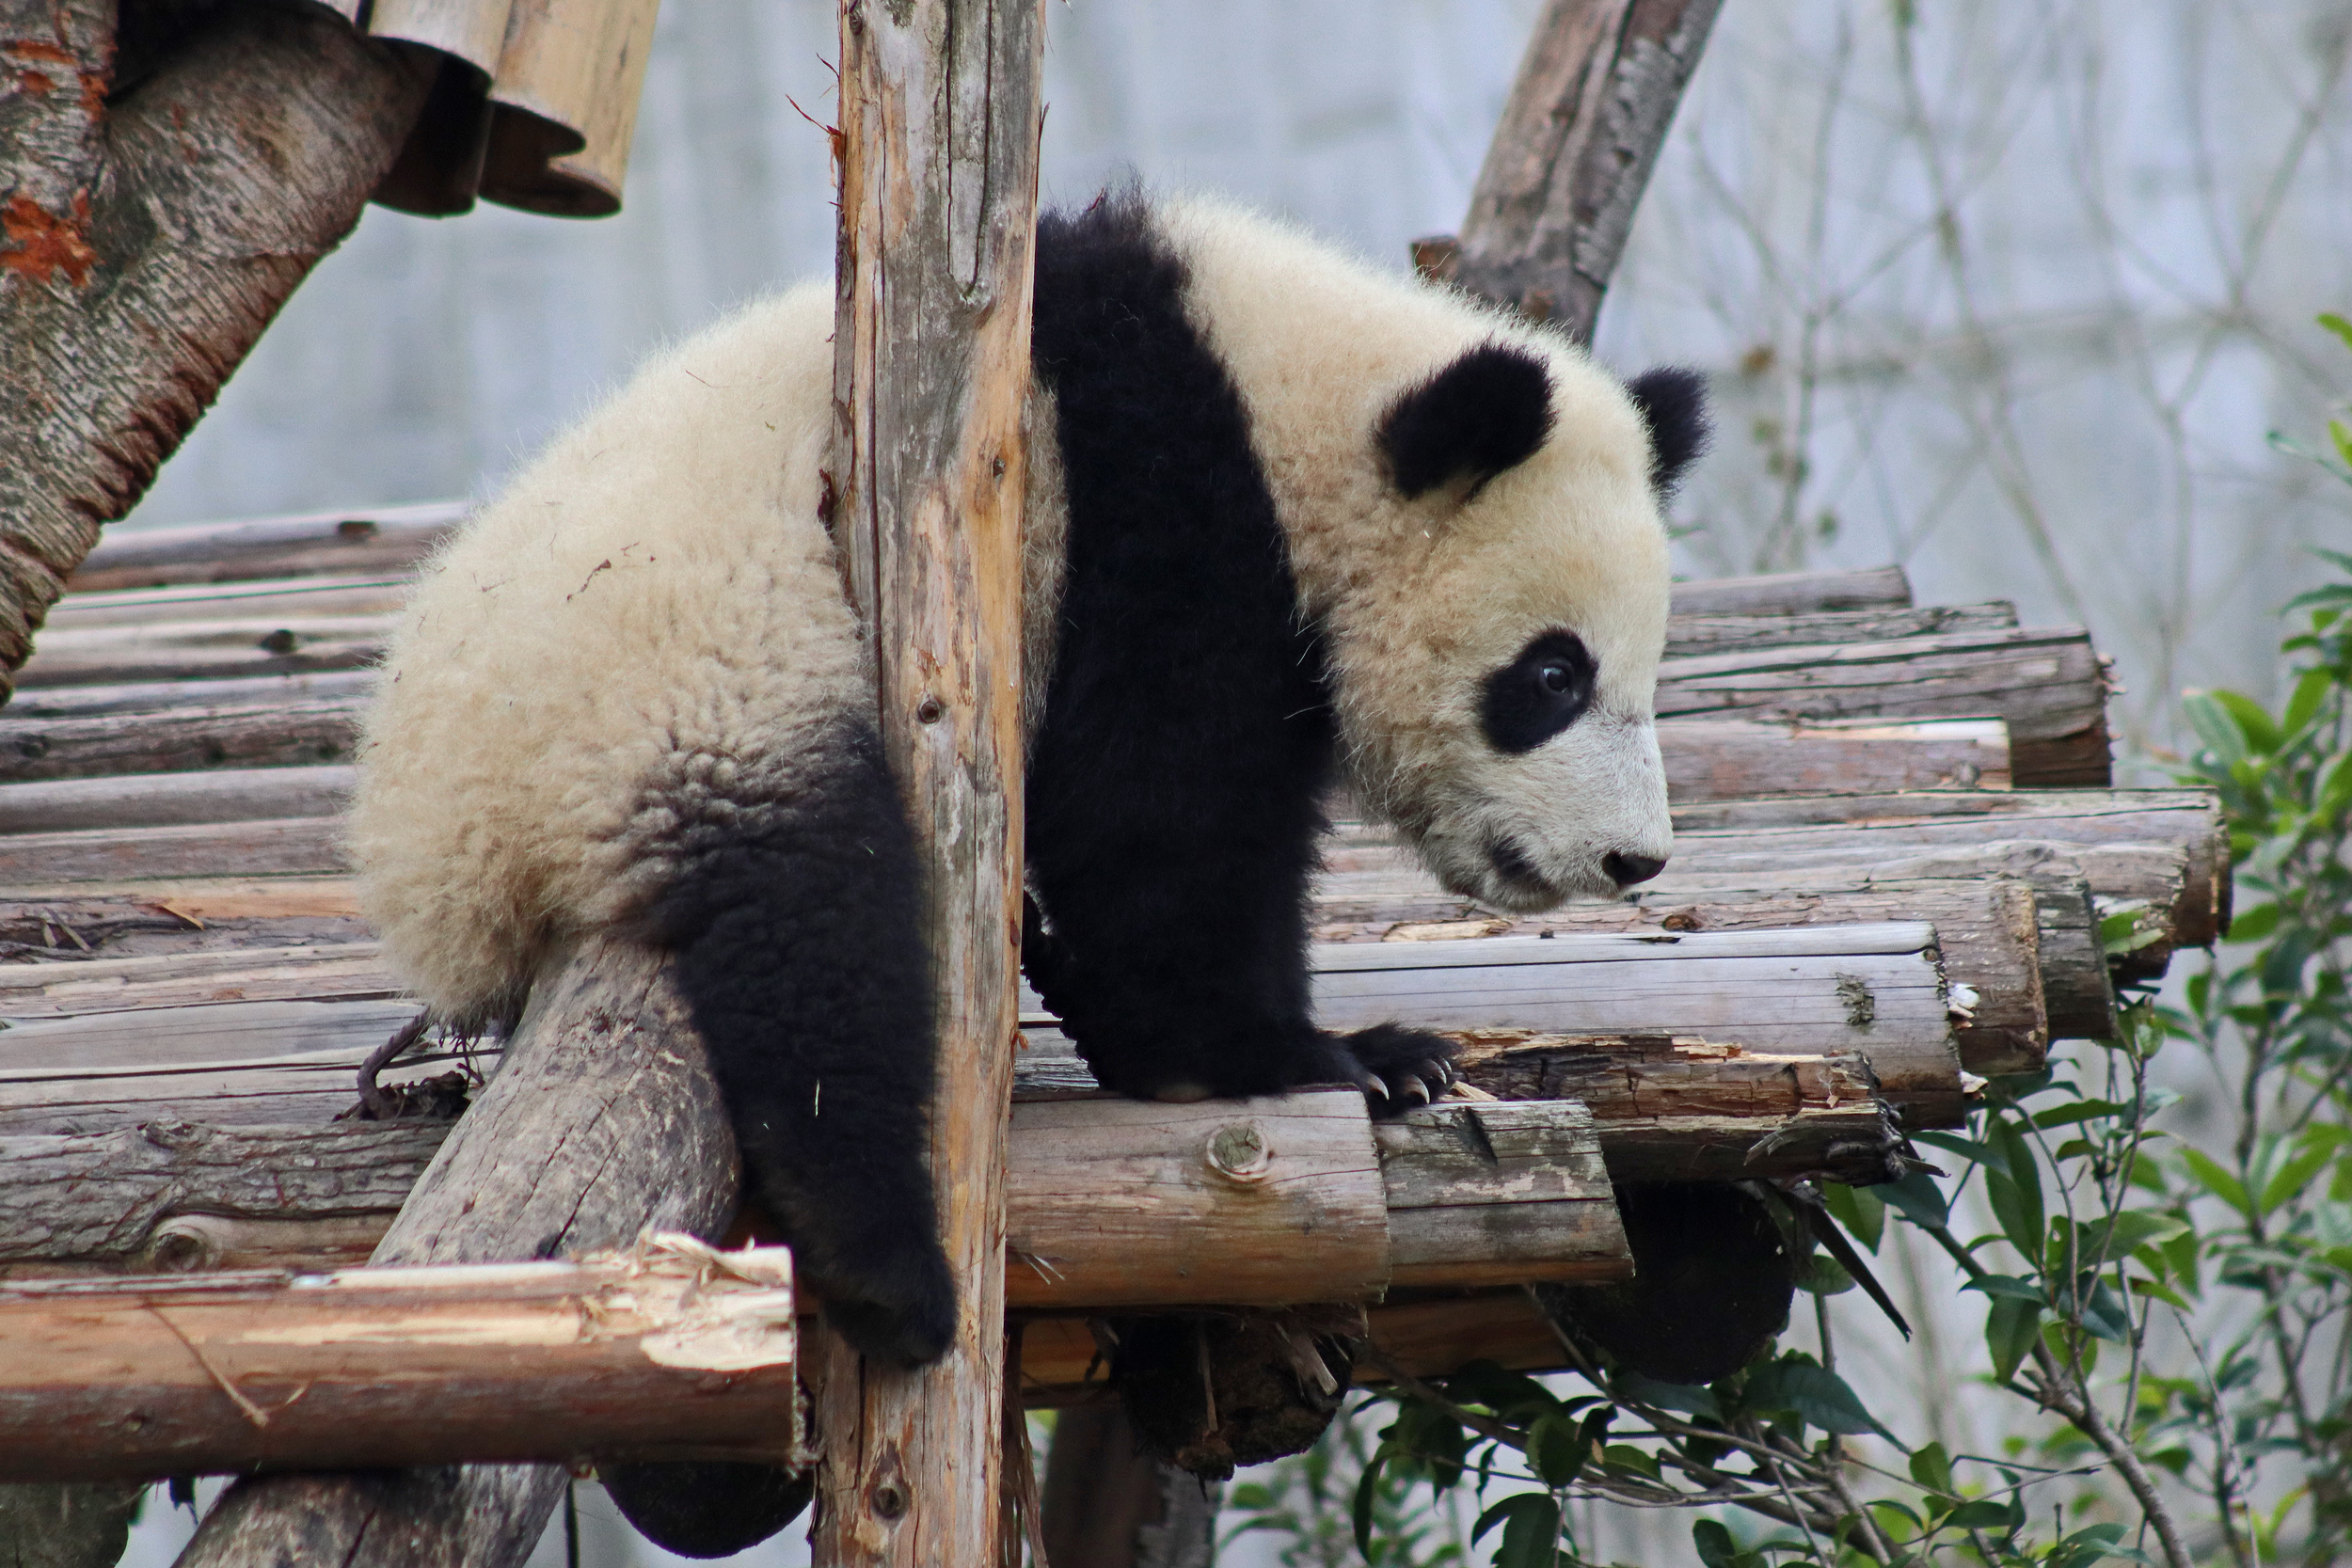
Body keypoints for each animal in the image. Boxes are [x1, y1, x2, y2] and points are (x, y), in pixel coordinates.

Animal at [352, 185, 1704, 1425]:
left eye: (1637, 675)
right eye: (1552, 676)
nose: (1632, 859)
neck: (1293, 393)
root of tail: (420, 853)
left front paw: (1368, 1054)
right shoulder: (1162, 504)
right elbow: (1156, 815)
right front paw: (1302, 1056)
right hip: (688, 676)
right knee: (817, 931)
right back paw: (890, 1270)